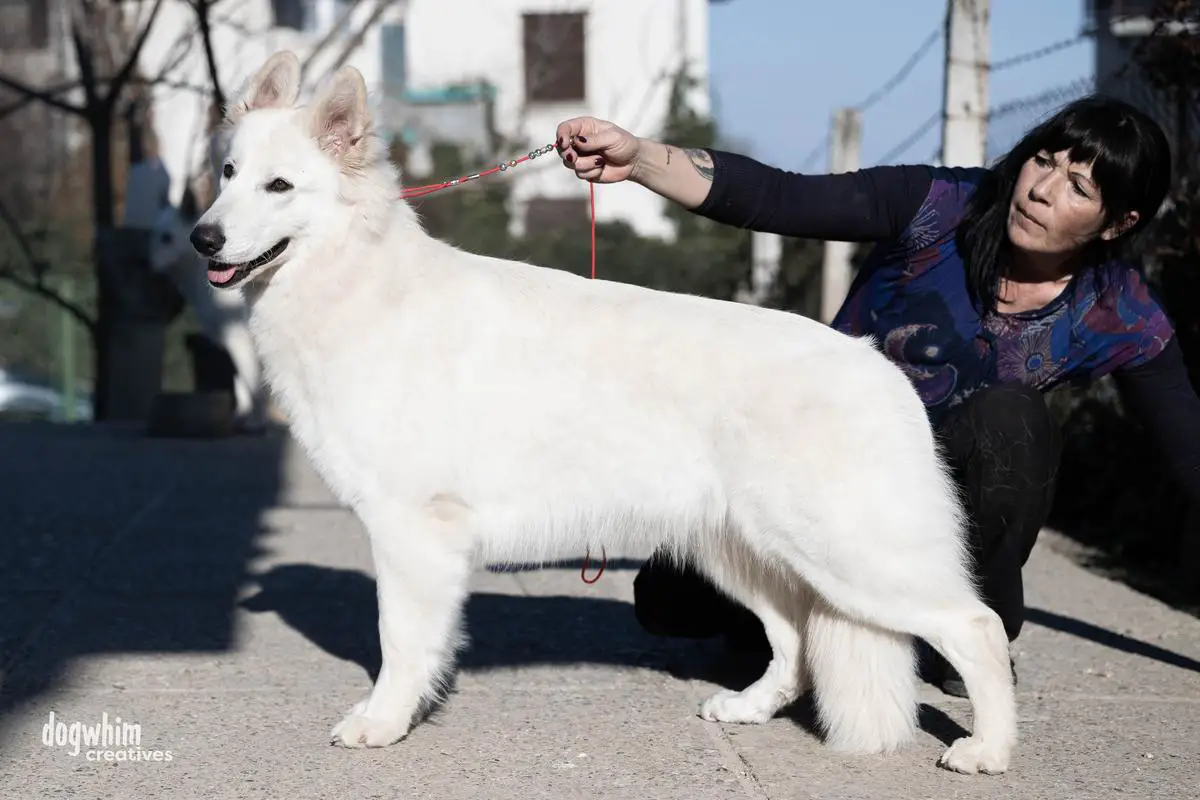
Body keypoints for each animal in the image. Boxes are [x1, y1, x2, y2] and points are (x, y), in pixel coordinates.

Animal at [192, 51, 1017, 777]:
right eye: (228, 175)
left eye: (278, 185)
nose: (203, 236)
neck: (357, 280)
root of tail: (880, 364)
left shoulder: (412, 532)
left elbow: (399, 641)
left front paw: (384, 722)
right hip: (745, 553)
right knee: (796, 643)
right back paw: (750, 708)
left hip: (852, 557)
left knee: (976, 627)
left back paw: (989, 749)